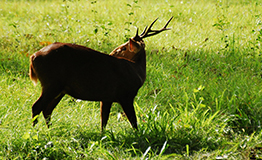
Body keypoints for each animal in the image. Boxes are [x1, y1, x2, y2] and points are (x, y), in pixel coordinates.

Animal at [29, 16, 173, 131]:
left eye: (123, 48)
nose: (112, 53)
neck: (137, 72)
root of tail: (33, 56)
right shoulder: (125, 95)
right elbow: (133, 121)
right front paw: (139, 137)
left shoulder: (107, 97)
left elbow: (104, 120)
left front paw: (102, 136)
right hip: (52, 83)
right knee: (37, 106)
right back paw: (35, 132)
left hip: (60, 89)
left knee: (47, 110)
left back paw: (50, 130)